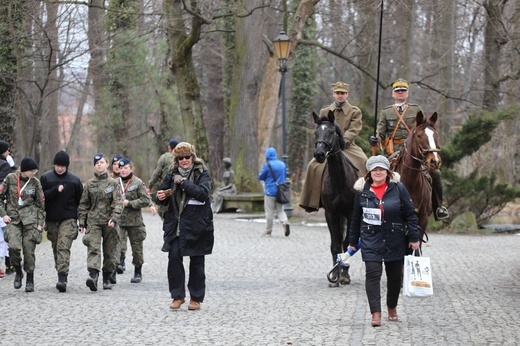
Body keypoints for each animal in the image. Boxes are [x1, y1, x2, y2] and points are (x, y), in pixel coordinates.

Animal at [310, 111, 360, 286]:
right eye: (316, 132)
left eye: (331, 132)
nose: (319, 154)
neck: (339, 179)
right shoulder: (331, 214)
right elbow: (335, 244)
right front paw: (334, 275)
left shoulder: (351, 213)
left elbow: (346, 243)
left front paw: (344, 275)